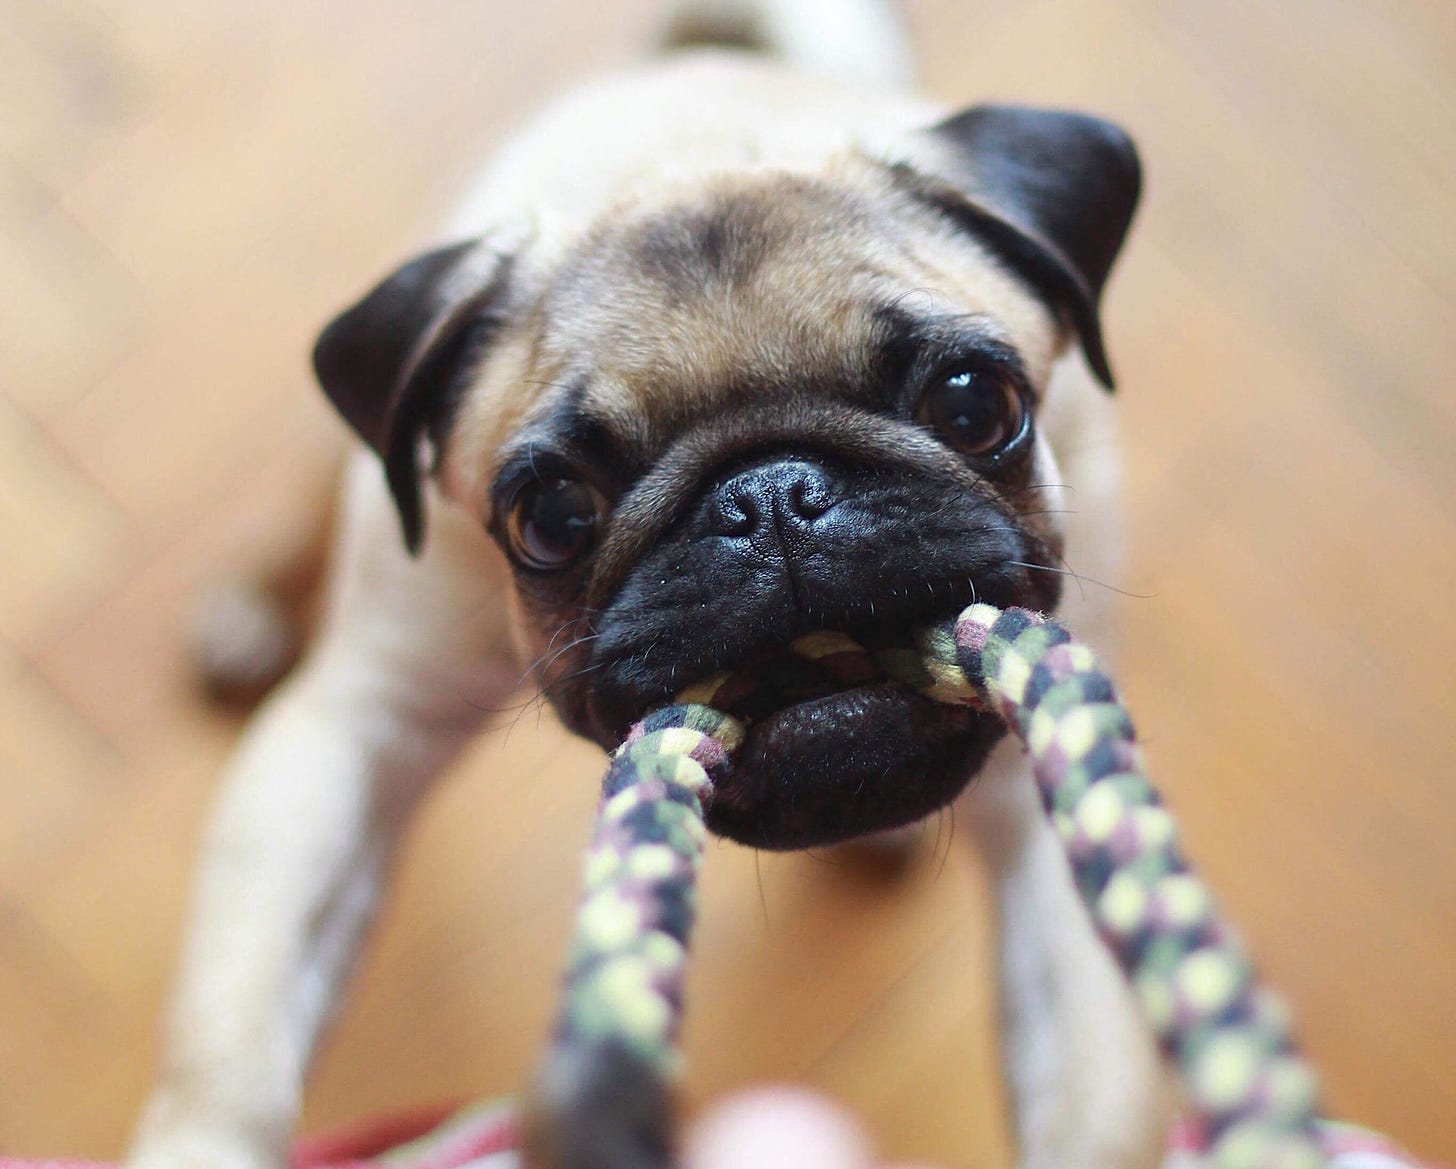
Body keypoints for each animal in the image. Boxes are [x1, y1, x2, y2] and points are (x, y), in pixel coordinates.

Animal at [131, 2, 1164, 1169]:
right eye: (551, 517)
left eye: (973, 404)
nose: (770, 497)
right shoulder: (363, 721)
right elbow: (235, 1032)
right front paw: (205, 1140)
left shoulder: (1051, 810)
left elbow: (1095, 1083)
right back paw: (255, 605)